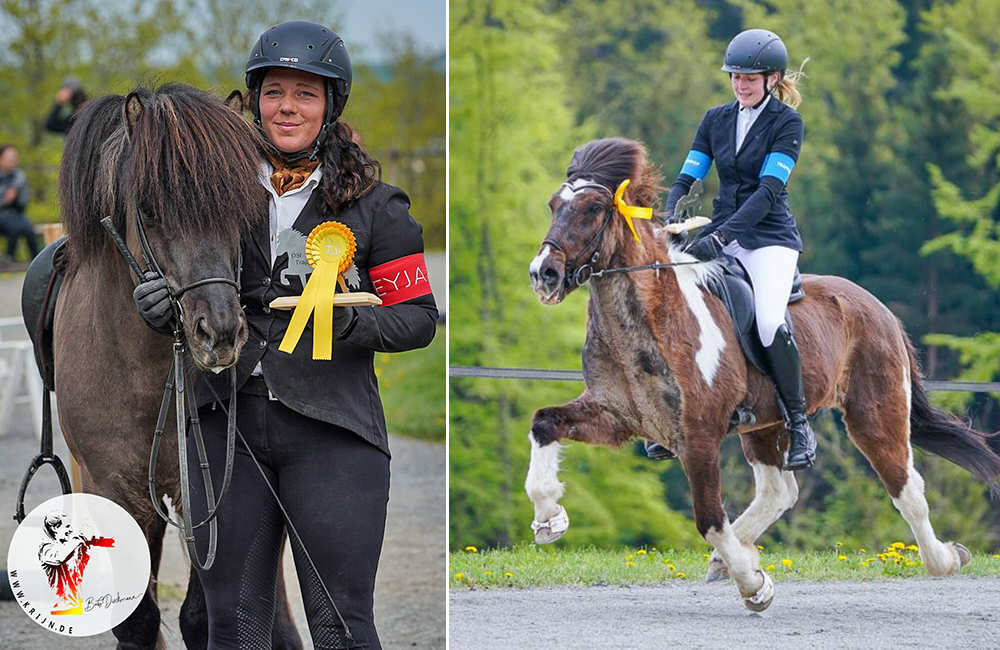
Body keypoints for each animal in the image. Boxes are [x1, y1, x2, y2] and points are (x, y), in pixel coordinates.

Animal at [53, 86, 300, 648]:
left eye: (240, 210)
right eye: (148, 209)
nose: (221, 333)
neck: (144, 379)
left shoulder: (204, 499)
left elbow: (202, 614)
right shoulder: (113, 491)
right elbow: (138, 619)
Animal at [524, 135, 1000, 608]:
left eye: (593, 208)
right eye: (553, 204)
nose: (543, 274)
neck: (650, 318)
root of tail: (880, 309)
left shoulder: (698, 435)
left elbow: (709, 519)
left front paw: (755, 586)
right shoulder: (617, 416)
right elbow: (544, 422)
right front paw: (550, 517)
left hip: (875, 413)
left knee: (907, 489)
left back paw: (945, 559)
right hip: (765, 423)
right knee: (779, 492)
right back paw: (729, 557)